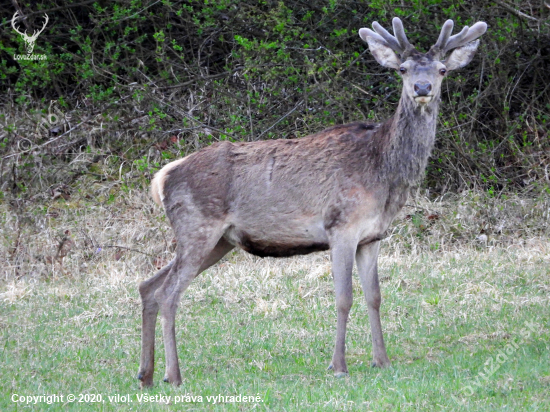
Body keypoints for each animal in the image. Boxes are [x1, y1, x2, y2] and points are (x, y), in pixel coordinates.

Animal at [137, 16, 488, 386]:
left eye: (441, 70)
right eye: (403, 69)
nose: (422, 88)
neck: (383, 174)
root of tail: (163, 178)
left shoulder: (373, 236)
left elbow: (375, 296)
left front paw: (382, 361)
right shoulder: (341, 226)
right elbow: (344, 297)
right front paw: (338, 366)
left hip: (219, 241)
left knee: (149, 286)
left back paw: (146, 374)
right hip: (198, 226)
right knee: (169, 293)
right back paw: (173, 375)